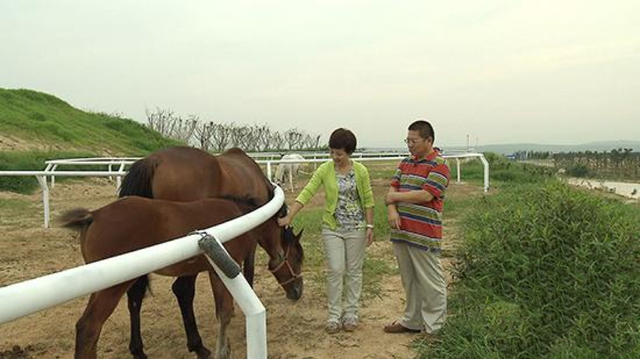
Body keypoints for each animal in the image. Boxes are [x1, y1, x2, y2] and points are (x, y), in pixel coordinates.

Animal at [61, 197, 304, 359]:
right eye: (298, 257)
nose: (298, 292)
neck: (238, 218)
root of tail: (94, 215)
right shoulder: (221, 271)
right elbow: (225, 313)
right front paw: (221, 351)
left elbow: (224, 312)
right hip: (112, 287)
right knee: (89, 327)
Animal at [117, 146, 296, 358]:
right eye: (297, 257)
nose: (297, 293)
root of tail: (153, 161)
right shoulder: (249, 240)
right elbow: (249, 273)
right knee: (182, 291)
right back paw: (198, 345)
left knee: (135, 295)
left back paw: (138, 350)